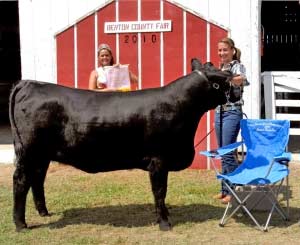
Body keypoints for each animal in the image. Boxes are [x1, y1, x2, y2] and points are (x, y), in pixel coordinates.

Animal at [8, 58, 230, 232]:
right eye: (225, 79)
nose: (236, 87)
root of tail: (29, 84)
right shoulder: (159, 160)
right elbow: (160, 191)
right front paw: (164, 223)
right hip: (28, 152)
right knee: (21, 181)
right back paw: (21, 225)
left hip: (41, 155)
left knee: (37, 179)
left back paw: (44, 213)